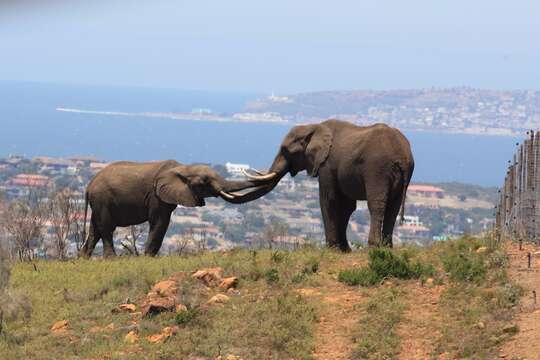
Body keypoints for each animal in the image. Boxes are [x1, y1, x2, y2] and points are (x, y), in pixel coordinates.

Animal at [80, 159, 262, 258]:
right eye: (204, 181)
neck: (183, 168)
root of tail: (89, 186)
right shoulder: (156, 196)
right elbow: (159, 222)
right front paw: (148, 258)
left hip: (99, 203)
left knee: (95, 230)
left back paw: (83, 259)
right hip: (103, 200)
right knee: (106, 228)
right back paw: (111, 259)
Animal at [234, 120, 416, 250]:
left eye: (285, 150)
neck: (313, 127)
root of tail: (402, 155)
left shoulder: (327, 164)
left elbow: (329, 200)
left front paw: (332, 249)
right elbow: (346, 206)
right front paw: (344, 249)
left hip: (377, 170)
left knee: (377, 205)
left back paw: (373, 247)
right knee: (393, 208)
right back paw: (387, 248)